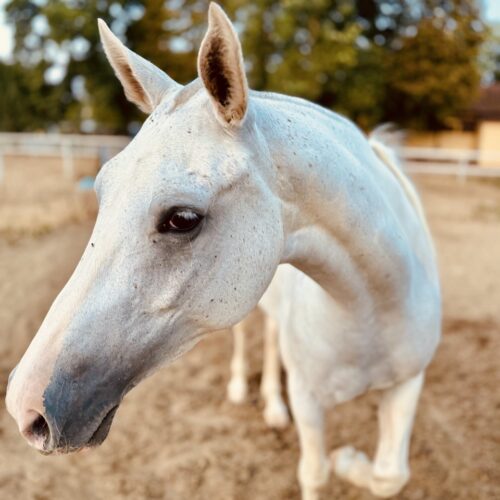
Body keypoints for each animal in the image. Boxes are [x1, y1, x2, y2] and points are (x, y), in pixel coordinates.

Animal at [5, 4, 440, 500]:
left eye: (182, 218)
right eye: (102, 190)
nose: (24, 406)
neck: (371, 310)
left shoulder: (407, 385)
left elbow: (390, 474)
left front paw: (350, 460)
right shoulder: (309, 399)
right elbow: (317, 472)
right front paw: (344, 460)